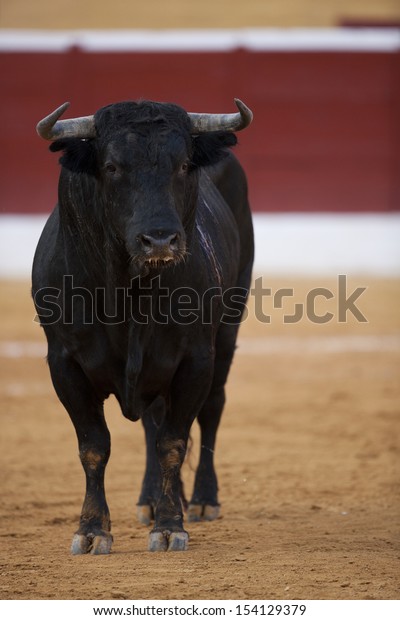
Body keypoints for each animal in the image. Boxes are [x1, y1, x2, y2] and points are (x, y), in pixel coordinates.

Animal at [32, 98, 255, 552]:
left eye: (184, 164)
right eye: (112, 166)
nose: (161, 240)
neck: (129, 294)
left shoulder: (195, 359)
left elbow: (173, 441)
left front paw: (170, 527)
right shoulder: (63, 363)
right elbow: (95, 446)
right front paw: (91, 530)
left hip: (227, 330)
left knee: (212, 408)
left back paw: (203, 500)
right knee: (153, 419)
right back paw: (151, 500)